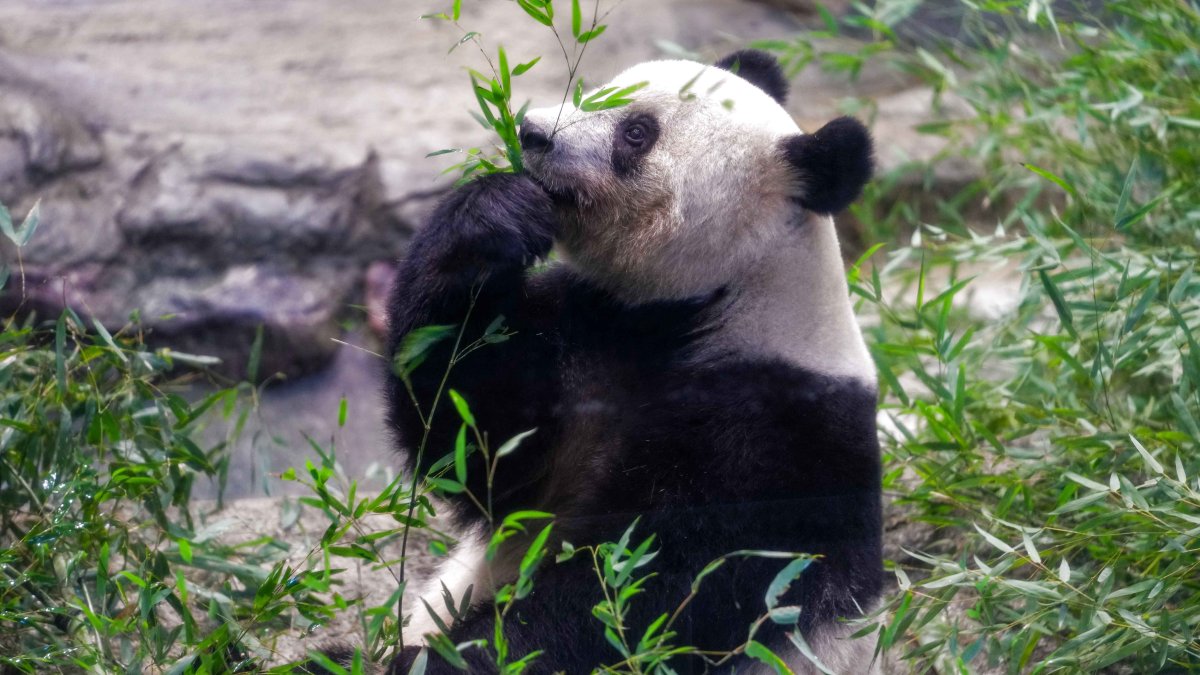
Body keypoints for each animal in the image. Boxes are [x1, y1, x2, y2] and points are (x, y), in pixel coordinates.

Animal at [383, 50, 881, 674]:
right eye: (598, 90)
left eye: (637, 133)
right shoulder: (590, 332)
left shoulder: (783, 443)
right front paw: (494, 217)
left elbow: (649, 593)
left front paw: (454, 658)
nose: (530, 132)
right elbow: (474, 441)